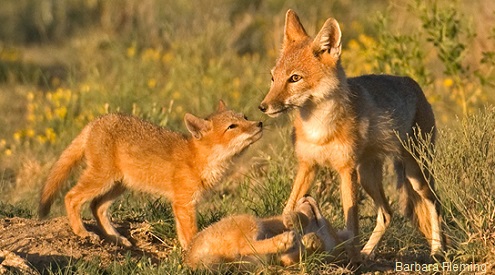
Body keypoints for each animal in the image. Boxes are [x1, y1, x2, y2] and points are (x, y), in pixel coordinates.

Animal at [39, 101, 264, 250]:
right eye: (232, 127)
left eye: (245, 117)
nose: (260, 123)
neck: (198, 160)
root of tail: (96, 121)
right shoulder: (184, 203)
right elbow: (191, 235)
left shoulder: (182, 205)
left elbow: (183, 236)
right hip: (102, 179)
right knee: (71, 197)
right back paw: (82, 232)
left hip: (118, 185)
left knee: (97, 206)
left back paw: (116, 238)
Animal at [260, 10, 446, 260]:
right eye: (273, 78)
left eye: (295, 78)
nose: (263, 106)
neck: (319, 129)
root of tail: (414, 85)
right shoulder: (308, 165)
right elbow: (288, 207)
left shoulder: (346, 170)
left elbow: (352, 223)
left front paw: (352, 258)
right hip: (368, 177)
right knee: (387, 214)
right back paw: (368, 253)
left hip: (415, 174)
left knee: (434, 203)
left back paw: (437, 249)